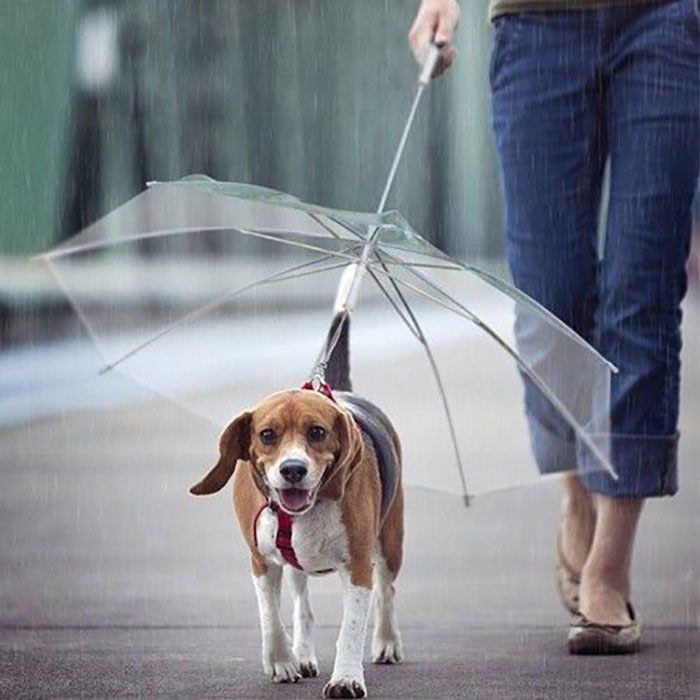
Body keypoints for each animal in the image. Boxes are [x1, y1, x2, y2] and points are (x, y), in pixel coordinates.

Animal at [189, 314, 402, 696]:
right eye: (267, 435)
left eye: (317, 432)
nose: (292, 469)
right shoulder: (260, 560)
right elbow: (270, 616)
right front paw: (281, 661)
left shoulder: (358, 564)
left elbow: (351, 626)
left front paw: (346, 677)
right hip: (296, 566)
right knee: (303, 606)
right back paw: (302, 654)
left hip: (390, 542)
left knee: (387, 592)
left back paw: (387, 641)